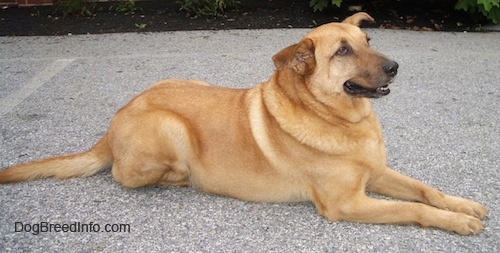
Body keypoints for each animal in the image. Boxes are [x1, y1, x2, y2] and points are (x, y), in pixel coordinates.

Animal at [0, 12, 486, 235]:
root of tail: (117, 117)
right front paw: (456, 223)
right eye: (343, 51)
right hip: (168, 128)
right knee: (125, 174)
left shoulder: (377, 173)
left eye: (367, 40)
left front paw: (463, 206)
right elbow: (414, 209)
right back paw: (181, 177)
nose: (395, 67)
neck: (338, 119)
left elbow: (427, 190)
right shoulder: (346, 203)